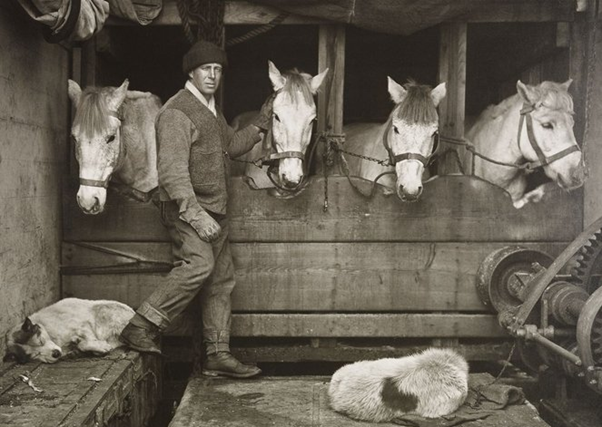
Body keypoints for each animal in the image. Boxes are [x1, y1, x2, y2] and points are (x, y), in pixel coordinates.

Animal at [3, 298, 134, 364]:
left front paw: (99, 347)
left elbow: (86, 341)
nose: (56, 354)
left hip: (104, 311)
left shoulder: (83, 325)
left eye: (40, 341)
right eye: (35, 354)